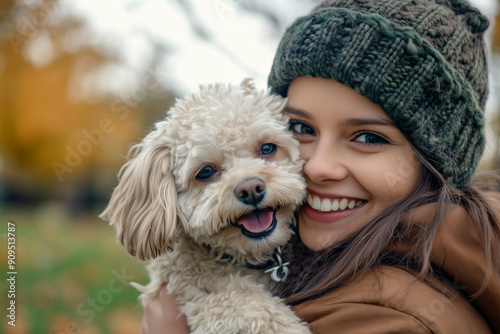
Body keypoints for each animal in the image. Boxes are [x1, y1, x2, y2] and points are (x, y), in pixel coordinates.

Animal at [101, 79, 310, 334]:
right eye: (206, 172)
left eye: (267, 148)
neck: (243, 258)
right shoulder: (192, 287)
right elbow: (241, 301)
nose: (250, 189)